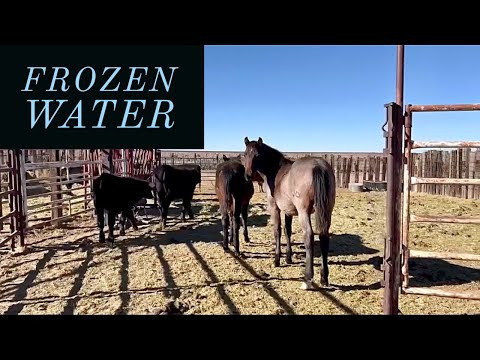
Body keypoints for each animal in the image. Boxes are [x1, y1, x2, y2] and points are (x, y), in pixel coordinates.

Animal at [242, 137, 336, 290]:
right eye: (245, 154)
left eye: (257, 155)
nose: (248, 175)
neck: (275, 170)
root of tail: (318, 166)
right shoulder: (289, 211)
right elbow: (288, 231)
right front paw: (288, 257)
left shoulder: (275, 208)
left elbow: (278, 231)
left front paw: (277, 259)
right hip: (327, 210)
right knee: (323, 237)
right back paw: (324, 277)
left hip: (304, 212)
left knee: (309, 236)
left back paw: (308, 277)